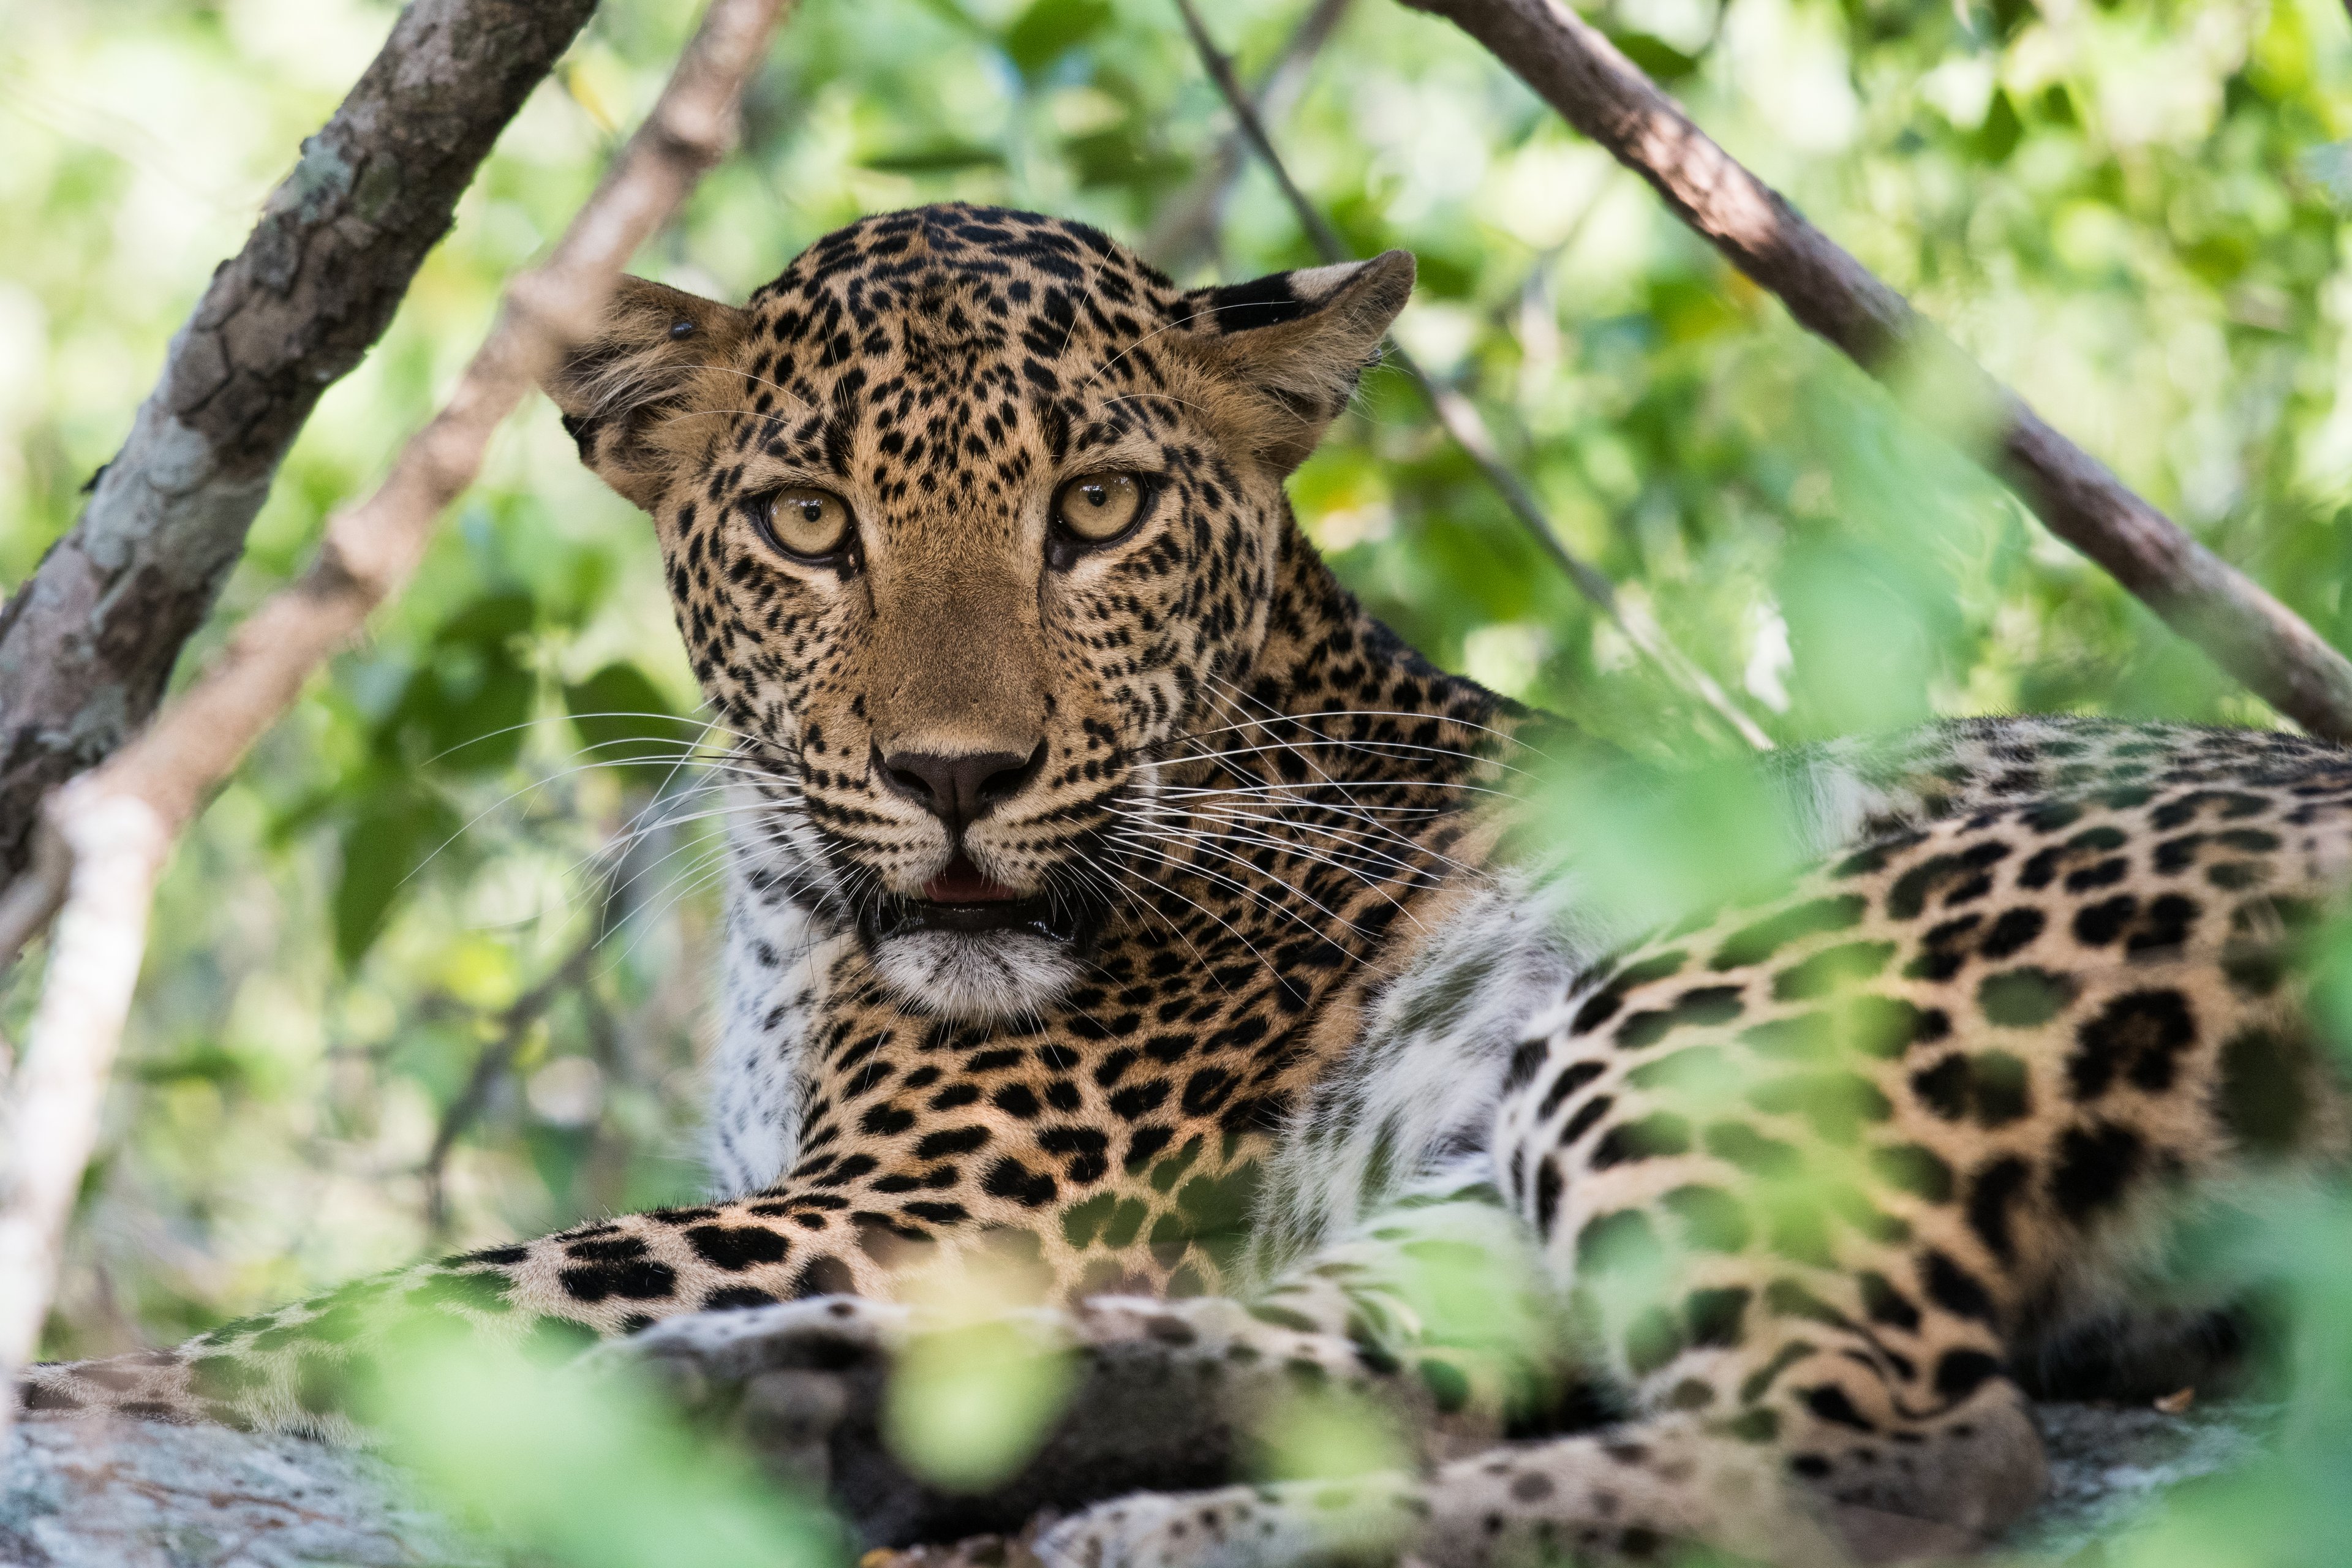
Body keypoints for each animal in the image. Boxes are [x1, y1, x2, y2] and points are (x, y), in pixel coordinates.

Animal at [20, 202, 2352, 1568]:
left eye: (1101, 510)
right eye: (804, 523)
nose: (956, 777)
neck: (798, 910)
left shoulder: (934, 1197)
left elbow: (414, 1296)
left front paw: (93, 1391)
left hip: (1745, 982)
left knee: (1886, 1449)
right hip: (1477, 1167)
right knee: (1377, 1383)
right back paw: (802, 1416)